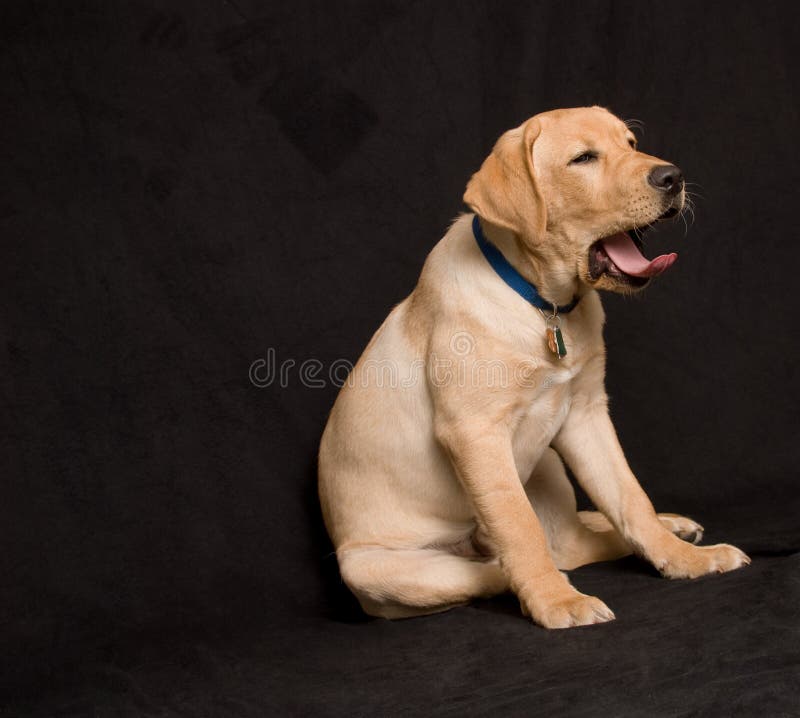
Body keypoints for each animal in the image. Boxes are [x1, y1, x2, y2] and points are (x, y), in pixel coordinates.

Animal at [316, 107, 748, 632]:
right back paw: (536, 576)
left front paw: (684, 559)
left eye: (630, 143)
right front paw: (555, 601)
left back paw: (676, 529)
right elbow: (520, 530)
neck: (545, 303)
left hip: (546, 464)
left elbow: (630, 499)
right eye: (583, 159)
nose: (673, 177)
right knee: (510, 561)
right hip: (379, 569)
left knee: (575, 539)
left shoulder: (586, 413)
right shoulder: (474, 433)